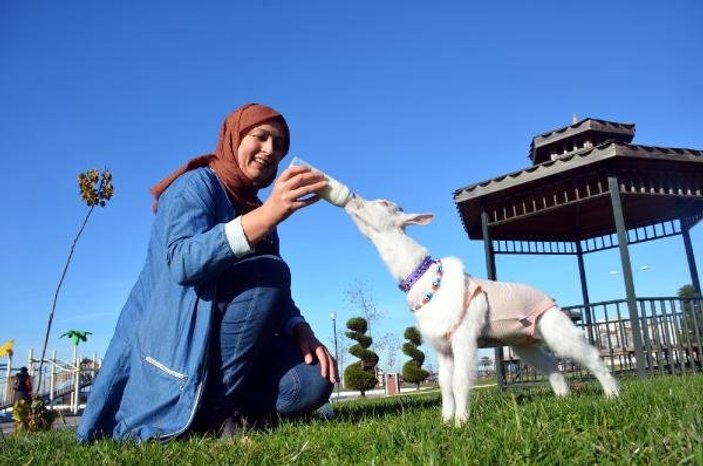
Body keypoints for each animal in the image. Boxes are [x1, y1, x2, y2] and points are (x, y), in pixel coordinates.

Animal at [344, 196, 620, 426]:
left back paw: (613, 394)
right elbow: (444, 384)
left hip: (553, 324)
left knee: (588, 355)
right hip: (523, 342)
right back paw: (564, 398)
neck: (424, 278)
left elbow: (460, 380)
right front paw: (445, 421)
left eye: (383, 203)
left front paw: (461, 422)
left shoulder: (463, 335)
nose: (352, 200)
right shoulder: (442, 346)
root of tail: (549, 298)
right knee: (550, 363)